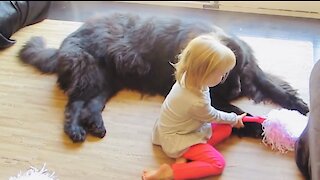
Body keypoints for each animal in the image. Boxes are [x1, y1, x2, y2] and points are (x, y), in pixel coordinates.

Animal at [18, 13, 308, 142]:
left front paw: (301, 106)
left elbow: (273, 86)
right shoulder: (204, 96)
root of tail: (62, 45)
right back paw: (76, 130)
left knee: (90, 106)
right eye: (223, 76)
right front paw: (258, 126)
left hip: (104, 83)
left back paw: (95, 126)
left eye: (237, 72)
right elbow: (233, 111)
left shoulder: (253, 71)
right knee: (74, 105)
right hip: (90, 76)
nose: (237, 90)